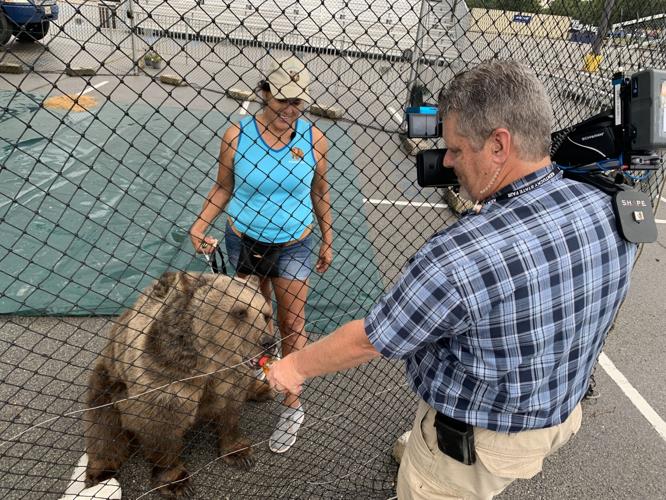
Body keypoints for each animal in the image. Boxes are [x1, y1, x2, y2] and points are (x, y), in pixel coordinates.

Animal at [82, 271, 275, 498]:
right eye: (240, 312)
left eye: (266, 314)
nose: (268, 342)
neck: (209, 361)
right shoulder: (161, 379)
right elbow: (160, 431)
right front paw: (177, 482)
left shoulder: (229, 377)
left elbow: (231, 410)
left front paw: (239, 452)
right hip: (108, 381)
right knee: (103, 426)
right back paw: (99, 472)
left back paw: (262, 389)